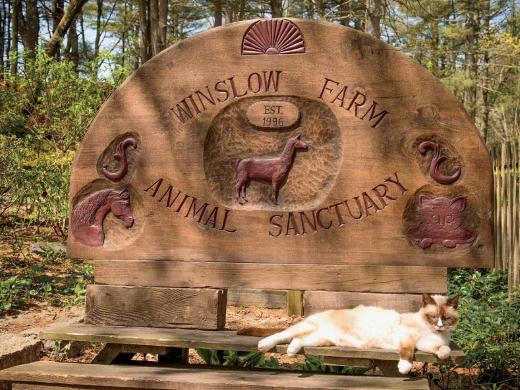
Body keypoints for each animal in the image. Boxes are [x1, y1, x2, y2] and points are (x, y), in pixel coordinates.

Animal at [246, 294, 458, 374]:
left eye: (446, 318)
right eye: (433, 317)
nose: (440, 326)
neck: (430, 331)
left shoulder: (427, 344)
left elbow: (443, 350)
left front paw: (443, 353)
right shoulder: (406, 337)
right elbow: (407, 351)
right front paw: (405, 367)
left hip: (321, 339)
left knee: (298, 340)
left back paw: (291, 351)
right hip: (305, 329)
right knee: (282, 334)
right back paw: (264, 345)